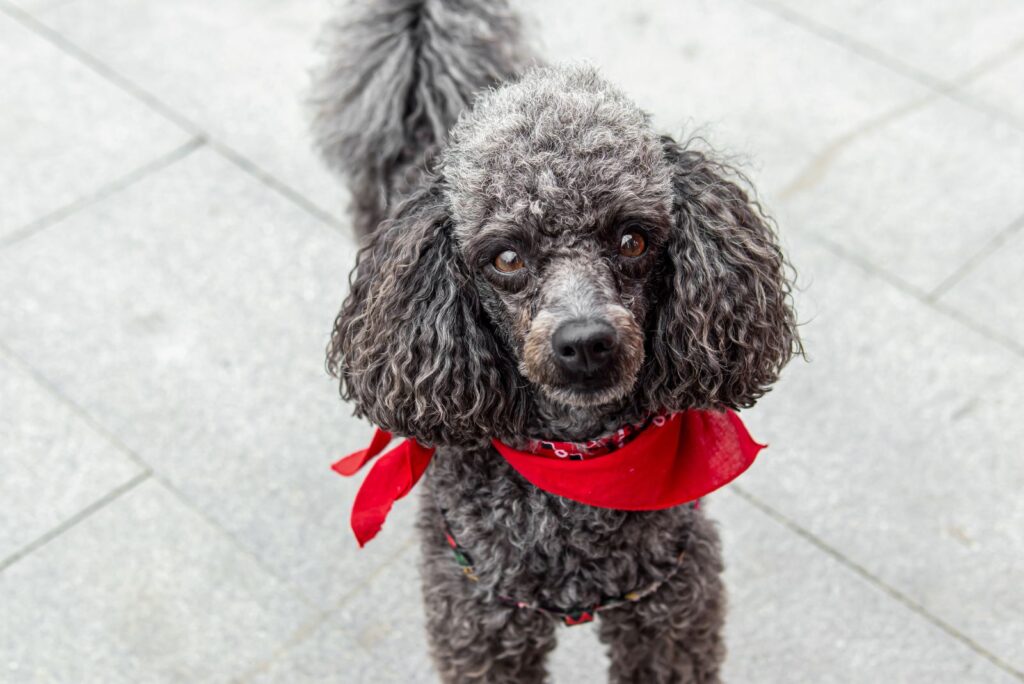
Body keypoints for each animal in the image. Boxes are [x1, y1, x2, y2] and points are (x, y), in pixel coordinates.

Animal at [311, 2, 798, 679]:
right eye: (507, 258)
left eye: (632, 240)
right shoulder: (479, 623)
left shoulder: (670, 616)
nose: (586, 342)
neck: (578, 462)